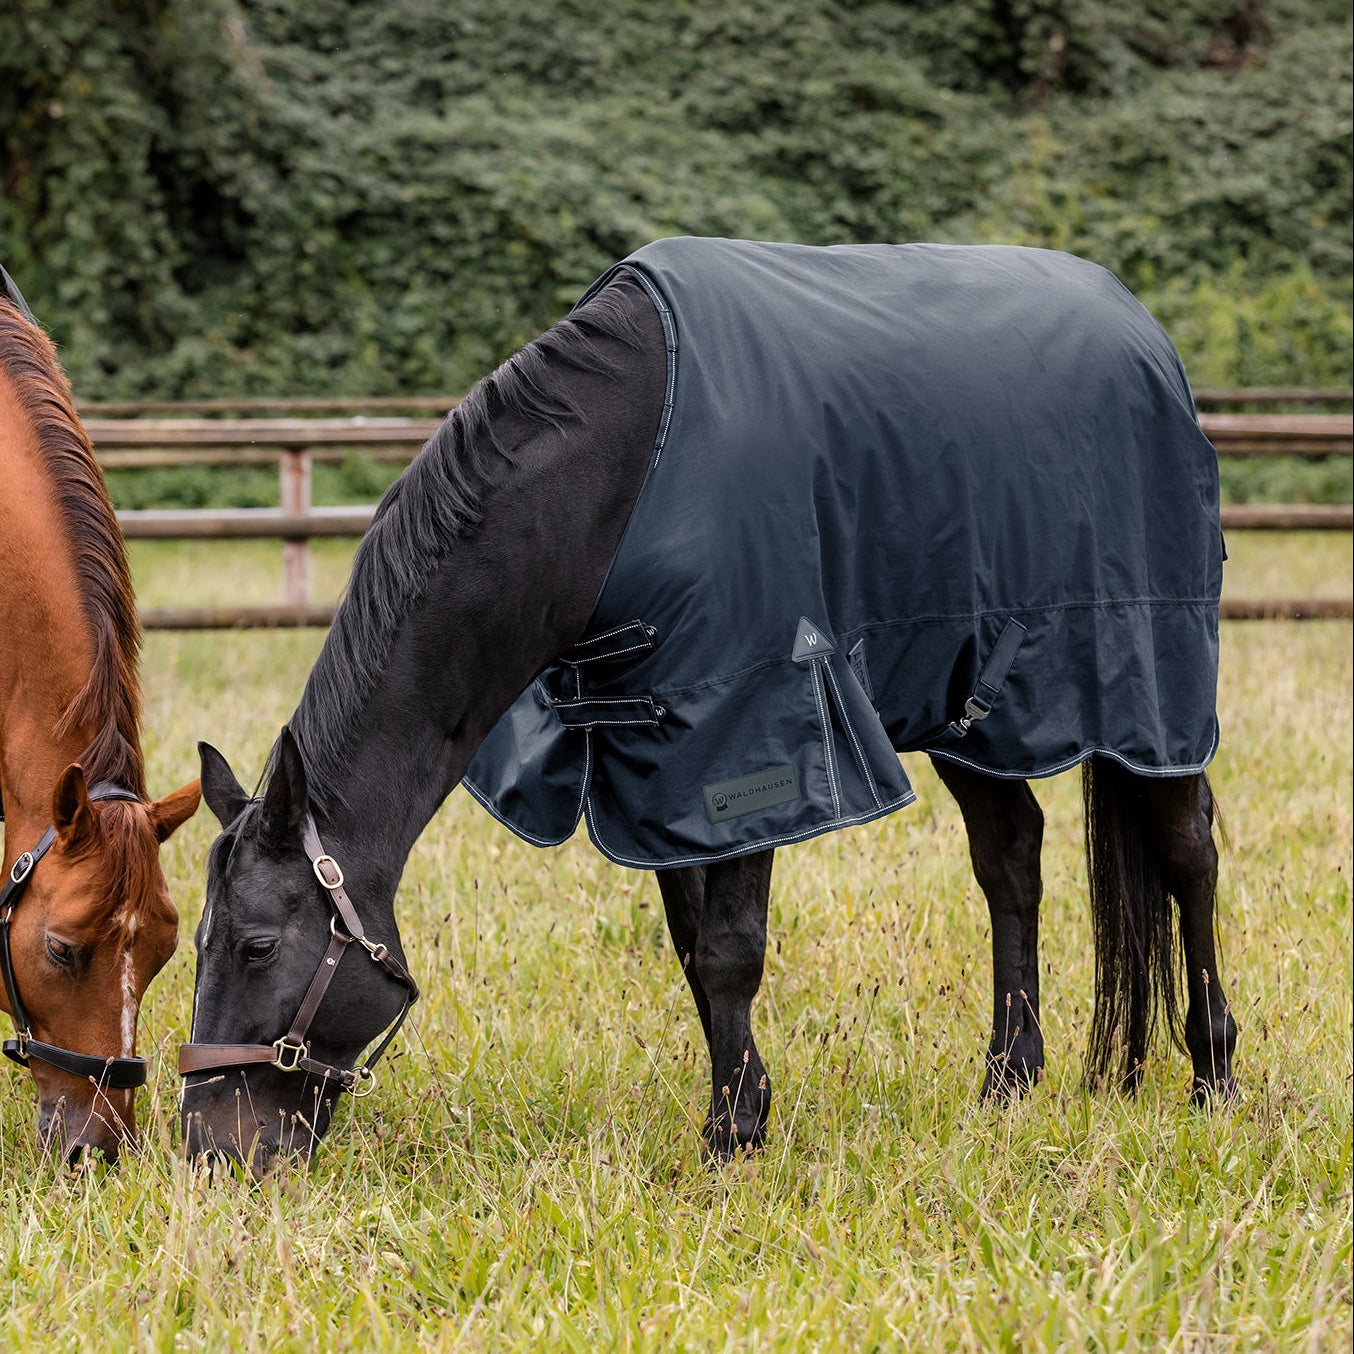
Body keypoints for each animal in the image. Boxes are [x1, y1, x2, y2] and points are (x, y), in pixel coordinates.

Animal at [179, 239, 1237, 1173]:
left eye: (257, 945)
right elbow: (695, 953)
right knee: (1010, 862)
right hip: (974, 711)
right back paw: (1008, 1082)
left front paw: (730, 1143)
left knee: (1187, 852)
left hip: (1152, 684)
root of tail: (1144, 334)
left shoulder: (753, 729)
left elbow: (730, 950)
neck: (615, 476)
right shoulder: (655, 758)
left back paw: (1214, 1075)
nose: (210, 1153)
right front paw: (746, 1111)